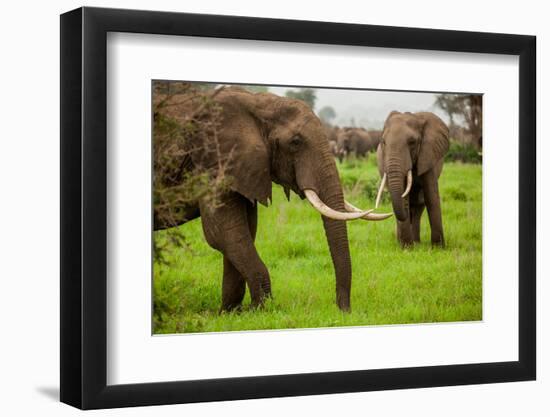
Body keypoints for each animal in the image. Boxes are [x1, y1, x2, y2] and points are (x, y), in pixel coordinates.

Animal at [153, 85, 390, 312]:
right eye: (295, 142)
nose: (343, 310)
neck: (258, 103)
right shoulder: (211, 161)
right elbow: (223, 234)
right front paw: (259, 310)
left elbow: (244, 232)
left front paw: (231, 312)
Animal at [378, 110, 450, 247]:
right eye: (383, 142)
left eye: (412, 142)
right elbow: (405, 198)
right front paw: (406, 248)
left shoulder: (428, 155)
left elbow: (431, 197)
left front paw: (438, 248)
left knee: (419, 205)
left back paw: (417, 242)